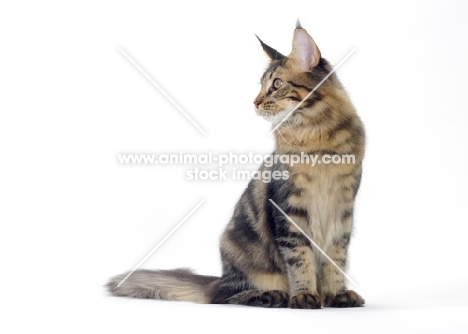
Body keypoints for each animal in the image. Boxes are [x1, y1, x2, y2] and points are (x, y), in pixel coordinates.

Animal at [107, 20, 366, 308]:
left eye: (277, 84)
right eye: (261, 86)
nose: (255, 102)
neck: (319, 139)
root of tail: (220, 279)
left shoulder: (342, 209)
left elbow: (336, 259)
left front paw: (337, 295)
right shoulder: (288, 208)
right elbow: (300, 259)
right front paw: (304, 295)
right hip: (235, 249)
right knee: (227, 295)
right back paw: (272, 295)